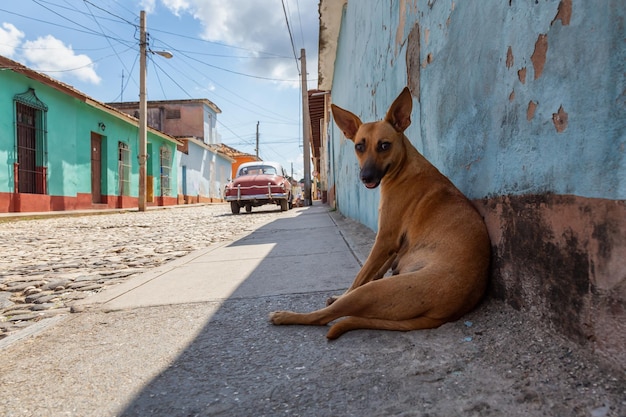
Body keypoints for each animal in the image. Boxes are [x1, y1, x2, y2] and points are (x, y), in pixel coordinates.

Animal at [268, 87, 488, 338]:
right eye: (359, 146)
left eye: (384, 145)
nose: (366, 177)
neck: (404, 168)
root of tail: (448, 313)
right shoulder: (394, 245)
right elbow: (373, 270)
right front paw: (339, 293)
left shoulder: (385, 239)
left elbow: (360, 277)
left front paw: (340, 294)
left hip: (372, 292)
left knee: (326, 315)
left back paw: (286, 316)